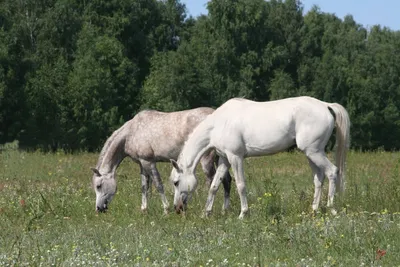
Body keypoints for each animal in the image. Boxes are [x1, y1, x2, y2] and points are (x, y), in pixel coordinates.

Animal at [91, 108, 233, 215]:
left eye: (98, 186)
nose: (98, 209)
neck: (132, 133)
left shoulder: (149, 162)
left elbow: (158, 184)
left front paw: (166, 209)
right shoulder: (142, 164)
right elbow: (144, 187)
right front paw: (144, 210)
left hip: (206, 160)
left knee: (212, 181)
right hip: (219, 158)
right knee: (226, 180)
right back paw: (224, 210)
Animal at [170, 97, 348, 219]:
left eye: (176, 182)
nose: (177, 208)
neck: (219, 124)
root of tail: (326, 105)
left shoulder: (236, 158)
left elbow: (241, 185)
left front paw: (243, 214)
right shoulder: (224, 160)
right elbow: (214, 186)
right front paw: (206, 213)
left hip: (314, 152)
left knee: (332, 172)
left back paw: (331, 208)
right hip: (311, 154)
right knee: (318, 179)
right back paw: (314, 210)